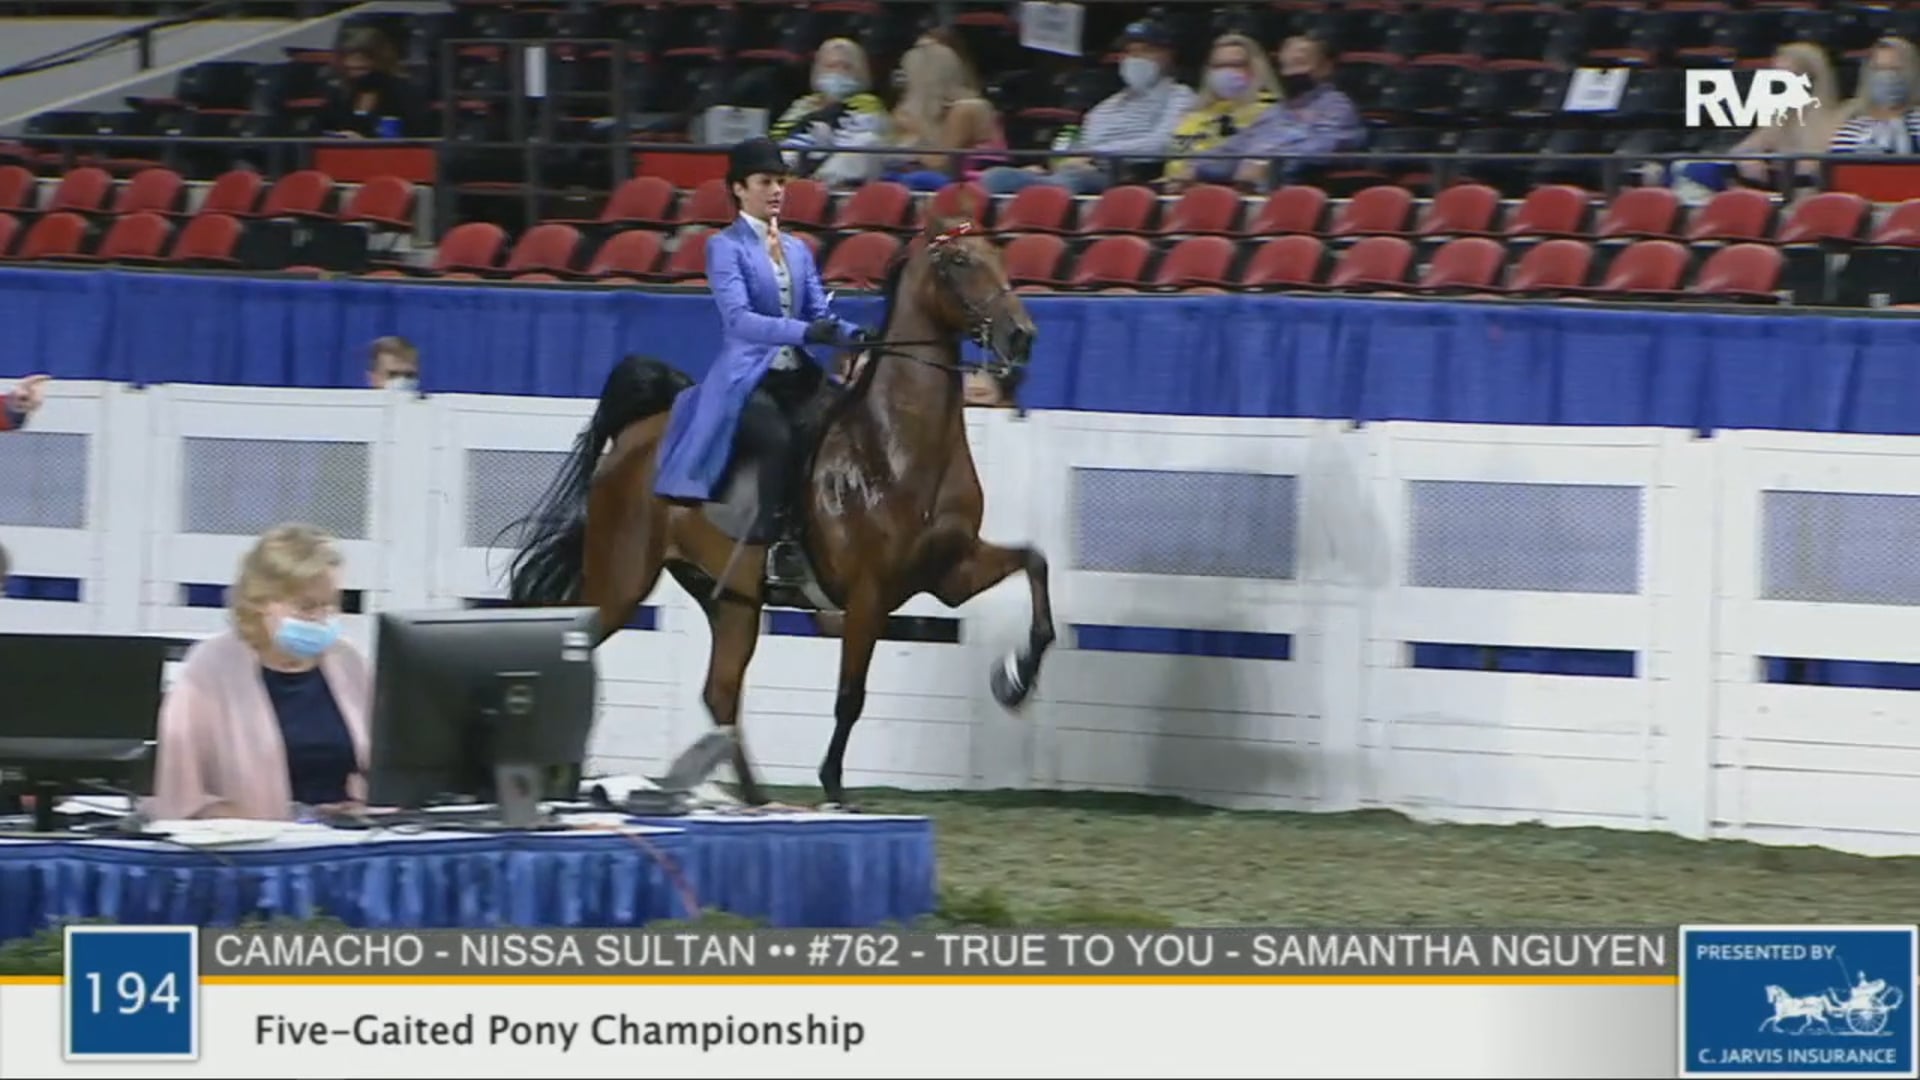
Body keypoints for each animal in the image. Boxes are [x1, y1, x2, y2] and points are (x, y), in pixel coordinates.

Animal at [504, 214, 1055, 809]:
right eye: (958, 261)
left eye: (998, 254)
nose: (1022, 336)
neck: (896, 447)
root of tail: (636, 436)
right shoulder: (867, 596)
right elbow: (850, 694)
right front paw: (834, 786)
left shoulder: (951, 573)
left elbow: (1036, 566)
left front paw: (1014, 680)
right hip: (623, 580)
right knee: (593, 644)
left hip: (730, 598)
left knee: (721, 692)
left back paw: (755, 800)